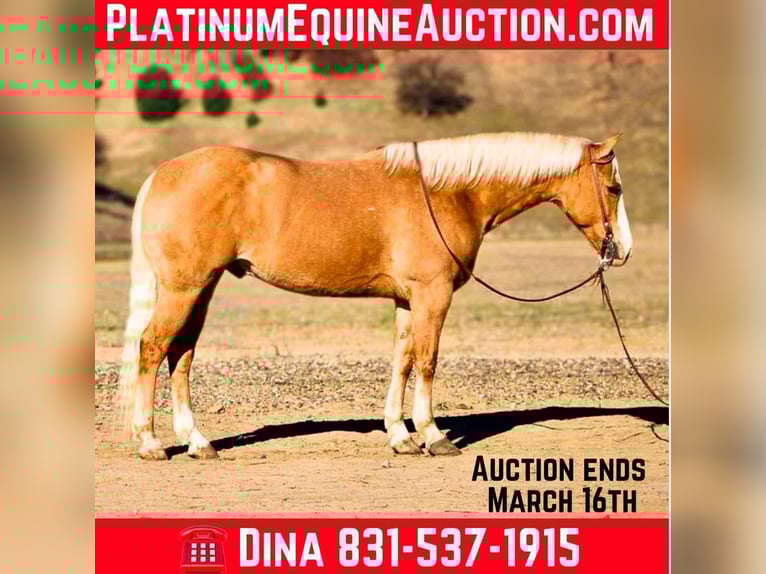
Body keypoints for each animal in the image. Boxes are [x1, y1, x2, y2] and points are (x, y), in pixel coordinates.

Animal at [117, 131, 632, 460]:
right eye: (614, 187)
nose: (622, 250)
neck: (449, 193)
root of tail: (162, 174)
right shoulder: (432, 294)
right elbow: (428, 361)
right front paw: (433, 435)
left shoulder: (408, 300)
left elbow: (402, 361)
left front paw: (401, 437)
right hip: (185, 288)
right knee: (153, 348)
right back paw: (151, 443)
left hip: (201, 288)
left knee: (181, 354)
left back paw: (198, 442)